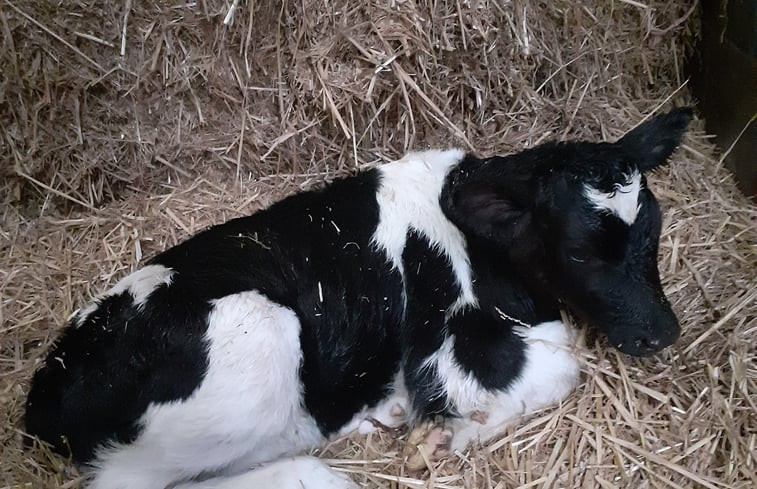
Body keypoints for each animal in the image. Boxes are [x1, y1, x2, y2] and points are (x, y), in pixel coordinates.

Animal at [25, 107, 692, 488]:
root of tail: (48, 388)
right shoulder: (446, 347)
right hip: (258, 330)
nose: (664, 332)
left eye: (654, 230)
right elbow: (564, 365)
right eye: (580, 252)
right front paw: (446, 436)